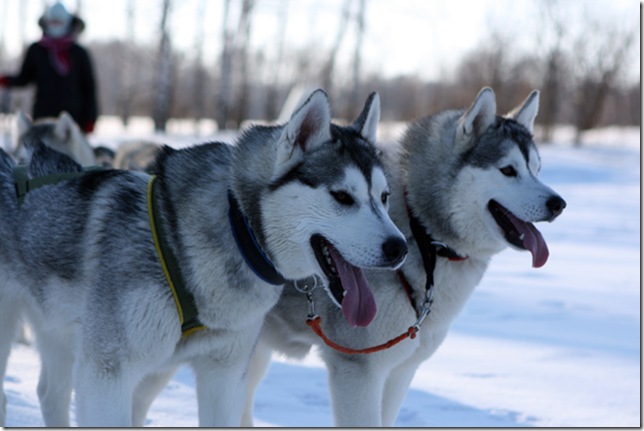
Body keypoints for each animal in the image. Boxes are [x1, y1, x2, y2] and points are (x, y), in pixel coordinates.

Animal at [3, 89, 408, 426]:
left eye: (385, 197)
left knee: (51, 393)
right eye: (342, 196)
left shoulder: (224, 376)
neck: (236, 228)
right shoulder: (107, 375)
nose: (399, 248)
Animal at [244, 86, 568, 426]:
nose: (558, 204)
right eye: (508, 170)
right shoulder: (358, 371)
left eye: (537, 170)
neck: (421, 231)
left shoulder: (401, 370)